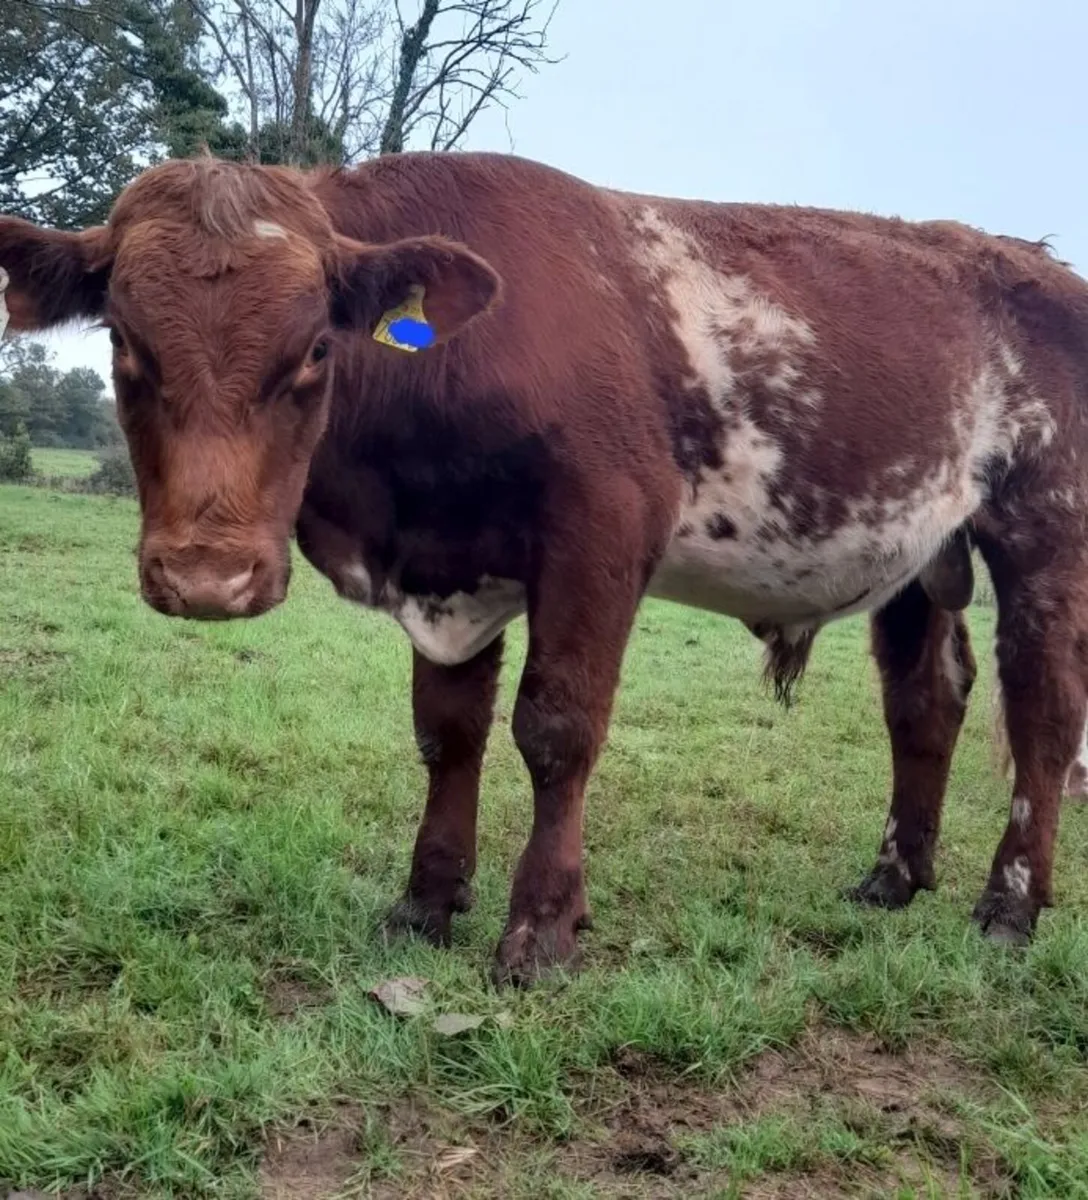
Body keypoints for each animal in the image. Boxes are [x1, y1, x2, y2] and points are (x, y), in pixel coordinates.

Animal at [2, 150, 1086, 985]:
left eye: (313, 349)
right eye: (125, 341)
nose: (206, 579)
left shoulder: (603, 528)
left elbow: (556, 729)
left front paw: (541, 928)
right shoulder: (448, 567)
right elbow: (447, 734)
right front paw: (425, 901)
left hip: (1046, 528)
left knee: (1043, 709)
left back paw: (1008, 905)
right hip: (918, 548)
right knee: (925, 701)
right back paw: (893, 877)